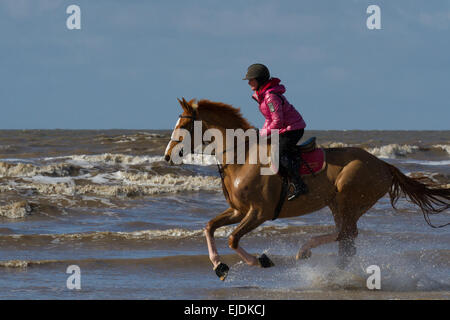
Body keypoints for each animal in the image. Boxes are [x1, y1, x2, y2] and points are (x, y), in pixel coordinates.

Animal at [165, 97, 450, 280]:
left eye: (184, 126)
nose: (168, 156)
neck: (242, 157)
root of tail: (384, 164)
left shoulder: (259, 213)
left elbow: (233, 238)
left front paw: (260, 260)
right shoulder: (238, 211)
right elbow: (209, 227)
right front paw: (219, 266)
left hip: (347, 198)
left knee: (346, 234)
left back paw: (307, 252)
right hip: (340, 204)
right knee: (347, 238)